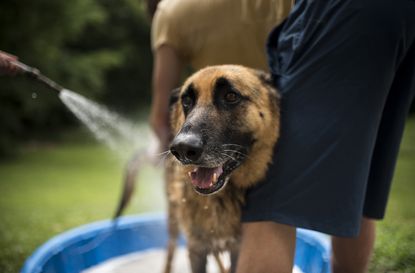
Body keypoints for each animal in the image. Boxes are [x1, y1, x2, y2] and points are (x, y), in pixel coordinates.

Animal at [164, 64, 282, 272]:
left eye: (230, 96)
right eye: (187, 101)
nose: (182, 149)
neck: (220, 198)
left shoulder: (238, 249)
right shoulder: (196, 249)